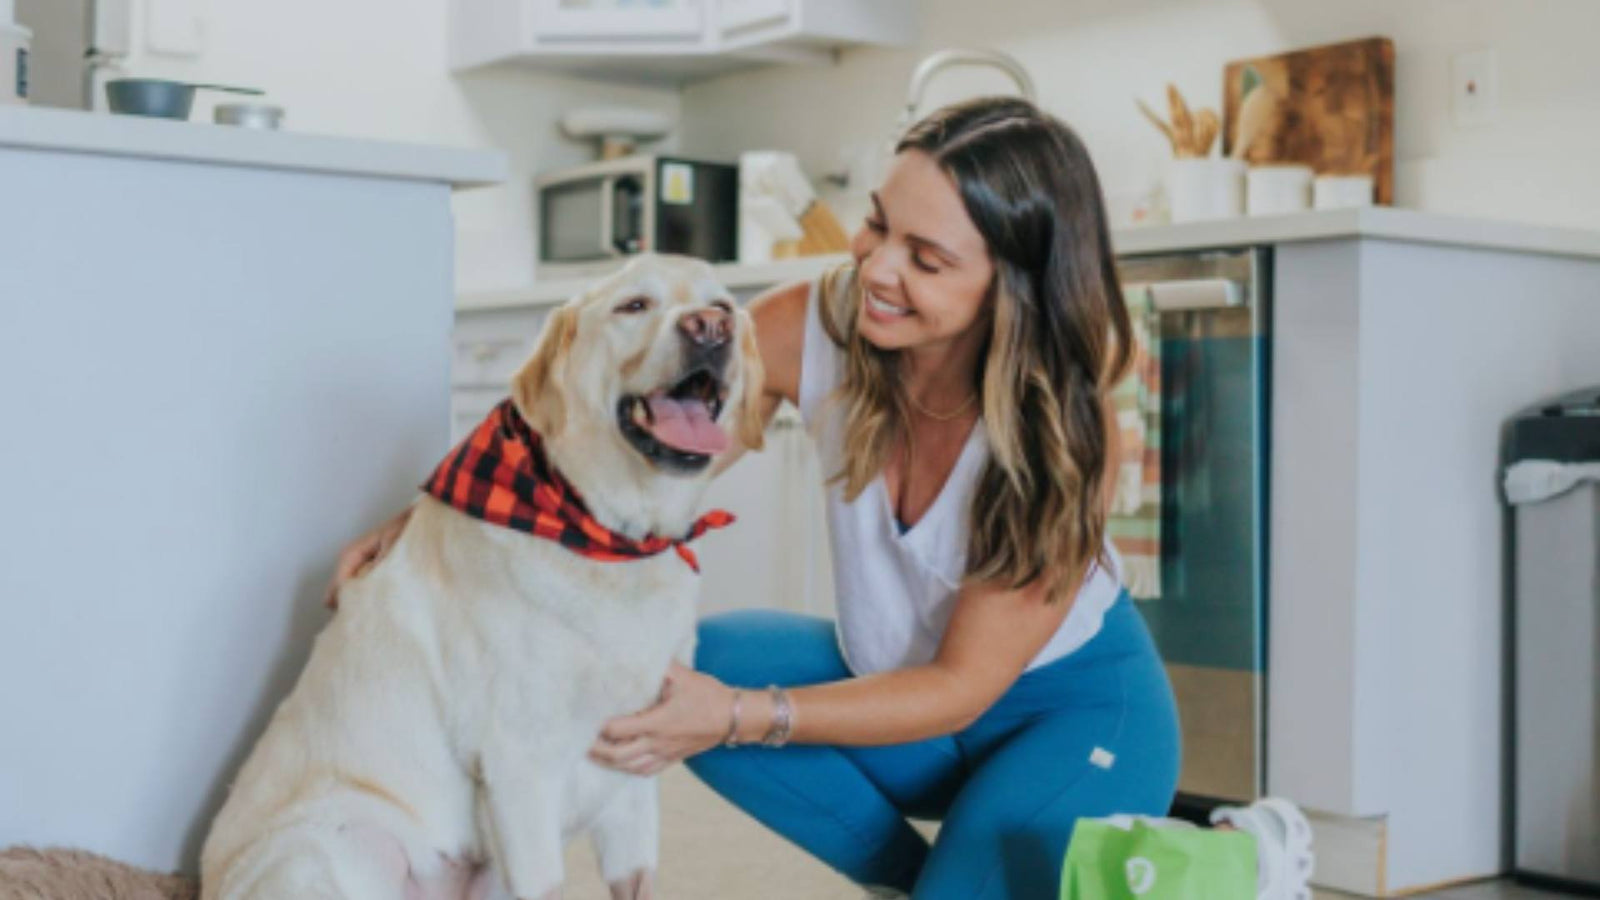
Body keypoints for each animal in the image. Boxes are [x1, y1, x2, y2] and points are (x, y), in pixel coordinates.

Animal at [200, 253, 761, 896]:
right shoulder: (519, 766)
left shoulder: (636, 776)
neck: (612, 540)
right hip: (340, 844)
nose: (710, 329)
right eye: (634, 306)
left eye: (721, 305)